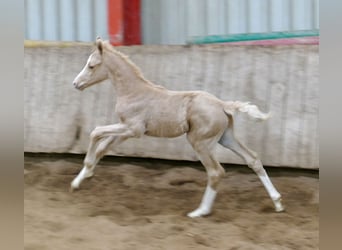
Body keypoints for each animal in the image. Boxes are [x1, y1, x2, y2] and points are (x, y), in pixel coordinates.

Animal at [69, 36, 284, 217]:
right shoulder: (126, 130)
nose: (75, 84)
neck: (133, 91)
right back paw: (277, 202)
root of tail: (223, 105)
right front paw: (80, 180)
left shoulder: (133, 129)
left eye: (91, 66)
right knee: (253, 159)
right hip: (226, 138)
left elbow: (95, 132)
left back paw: (200, 211)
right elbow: (102, 147)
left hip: (200, 142)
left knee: (216, 172)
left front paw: (84, 171)